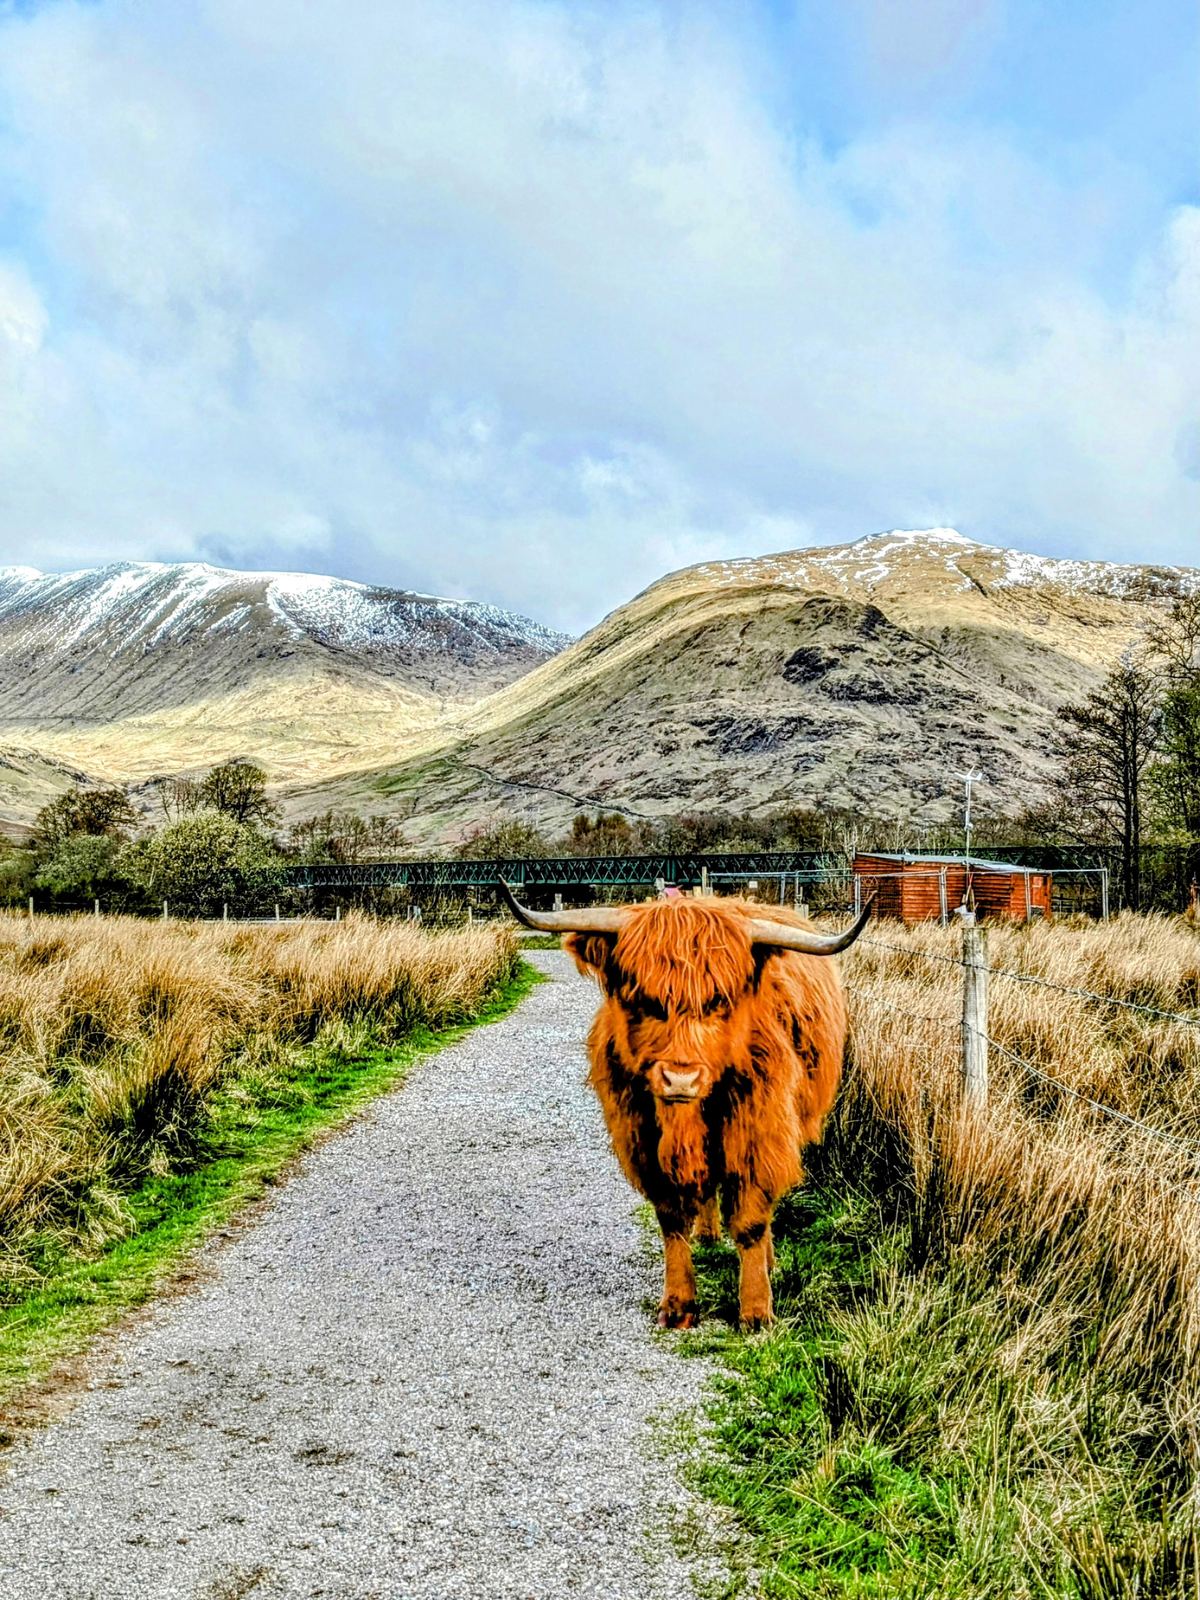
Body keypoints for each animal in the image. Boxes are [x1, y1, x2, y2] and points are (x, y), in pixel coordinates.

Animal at [500, 885, 871, 1330]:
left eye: (720, 1001)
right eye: (642, 1000)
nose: (681, 1079)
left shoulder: (759, 1138)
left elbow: (751, 1221)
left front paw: (756, 1311)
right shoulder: (643, 1141)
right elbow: (672, 1220)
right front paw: (678, 1305)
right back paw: (707, 1235)